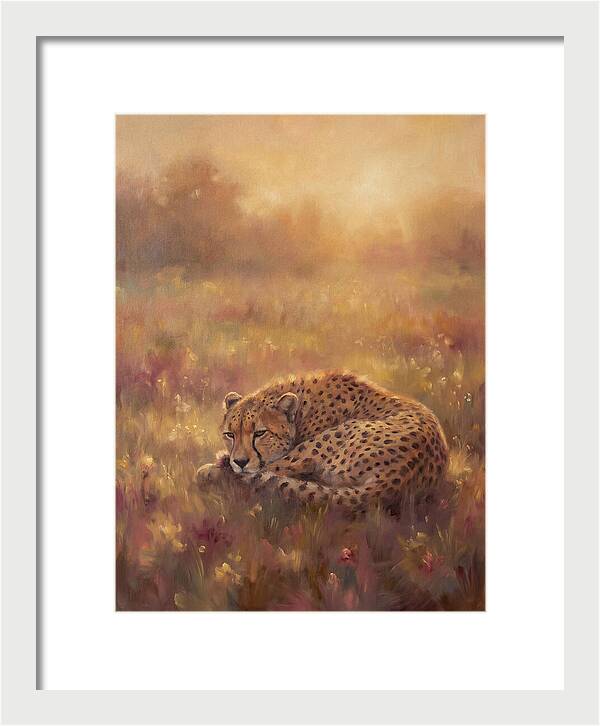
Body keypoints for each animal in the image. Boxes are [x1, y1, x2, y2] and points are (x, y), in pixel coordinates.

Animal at [196, 370, 448, 515]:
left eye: (259, 433)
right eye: (230, 435)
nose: (239, 461)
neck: (302, 409)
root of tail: (396, 481)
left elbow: (263, 470)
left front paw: (217, 466)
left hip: (321, 443)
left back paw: (211, 470)